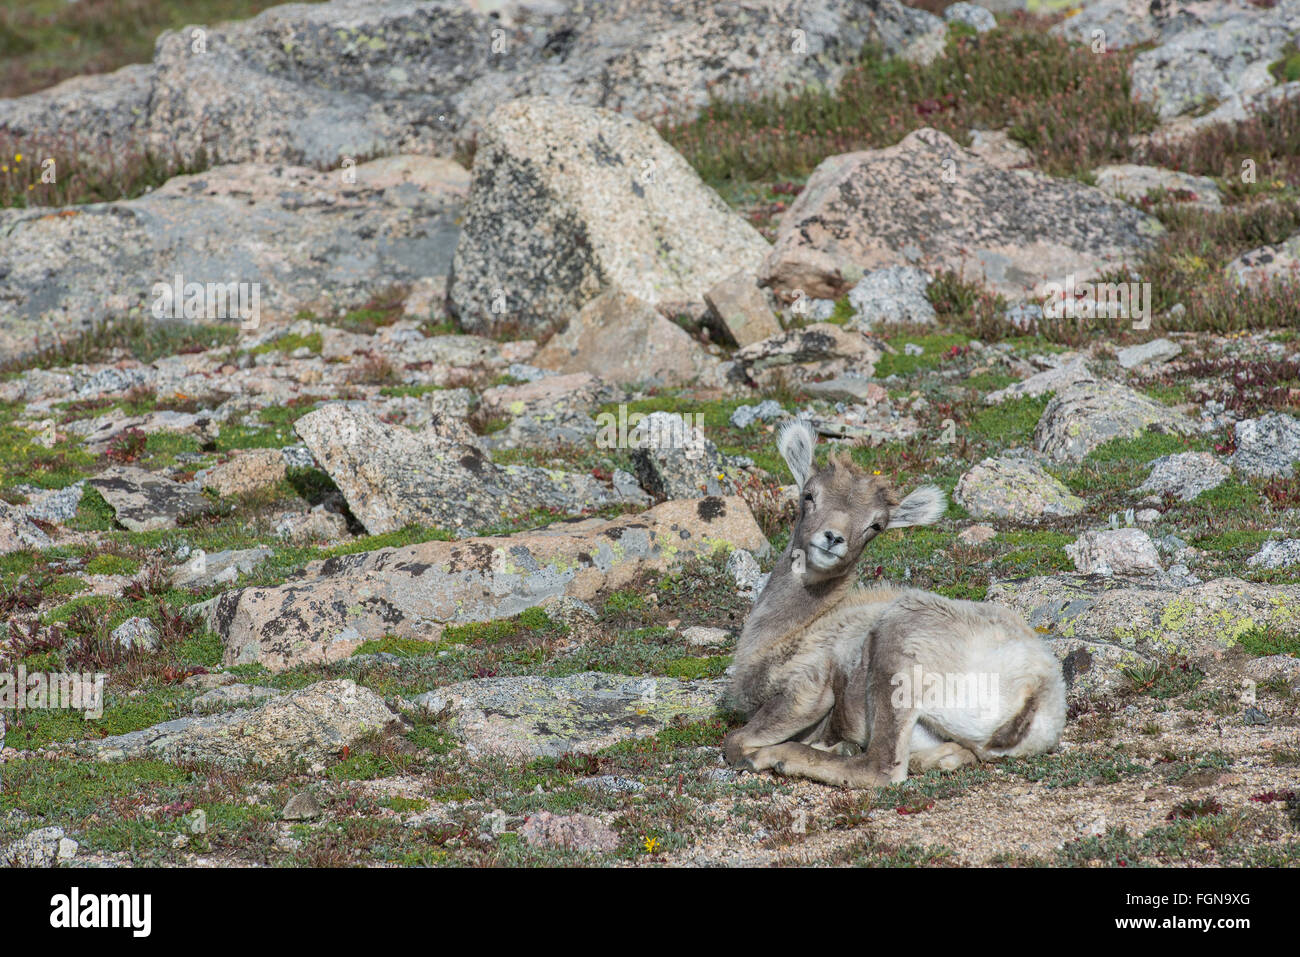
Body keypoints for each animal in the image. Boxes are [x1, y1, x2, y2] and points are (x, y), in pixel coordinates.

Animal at [722, 418, 1066, 785]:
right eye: (809, 494)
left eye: (876, 524)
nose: (832, 538)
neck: (785, 634)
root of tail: (1036, 691)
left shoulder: (807, 688)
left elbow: (737, 740)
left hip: (897, 653)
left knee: (881, 767)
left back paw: (785, 756)